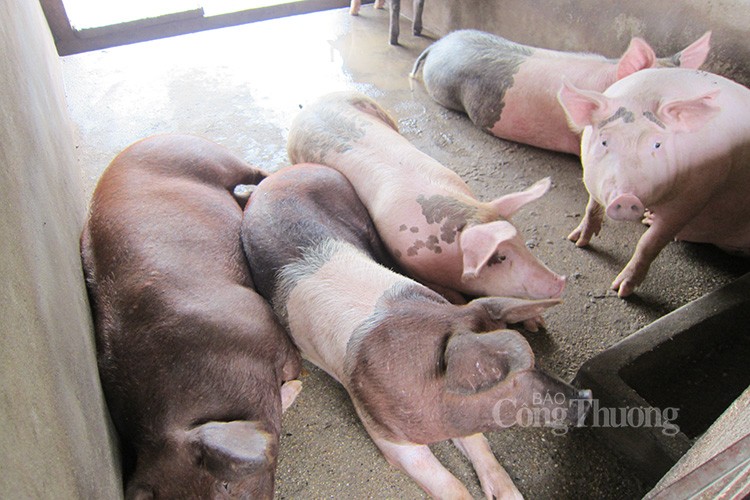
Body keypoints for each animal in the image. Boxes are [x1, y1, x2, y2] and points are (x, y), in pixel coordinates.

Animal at [81, 135, 304, 498]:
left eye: (226, 484)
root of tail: (145, 141)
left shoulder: (265, 326)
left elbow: (292, 367)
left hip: (208, 157)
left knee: (251, 172)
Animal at [241, 163, 592, 496]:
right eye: (512, 379)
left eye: (537, 362)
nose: (587, 397)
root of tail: (281, 174)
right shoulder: (384, 430)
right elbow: (449, 484)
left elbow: (480, 445)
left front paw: (511, 494)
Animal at [560, 67, 750, 296]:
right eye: (604, 141)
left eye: (657, 144)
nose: (625, 198)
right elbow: (591, 207)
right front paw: (577, 241)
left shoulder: (695, 197)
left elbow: (650, 242)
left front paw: (620, 290)